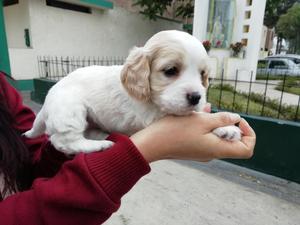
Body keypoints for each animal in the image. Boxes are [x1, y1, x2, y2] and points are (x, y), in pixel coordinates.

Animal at [24, 30, 241, 155]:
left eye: (203, 74)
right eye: (171, 70)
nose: (196, 97)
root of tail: (47, 103)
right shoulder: (152, 116)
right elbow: (195, 117)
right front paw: (227, 127)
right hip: (70, 110)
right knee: (62, 141)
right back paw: (98, 146)